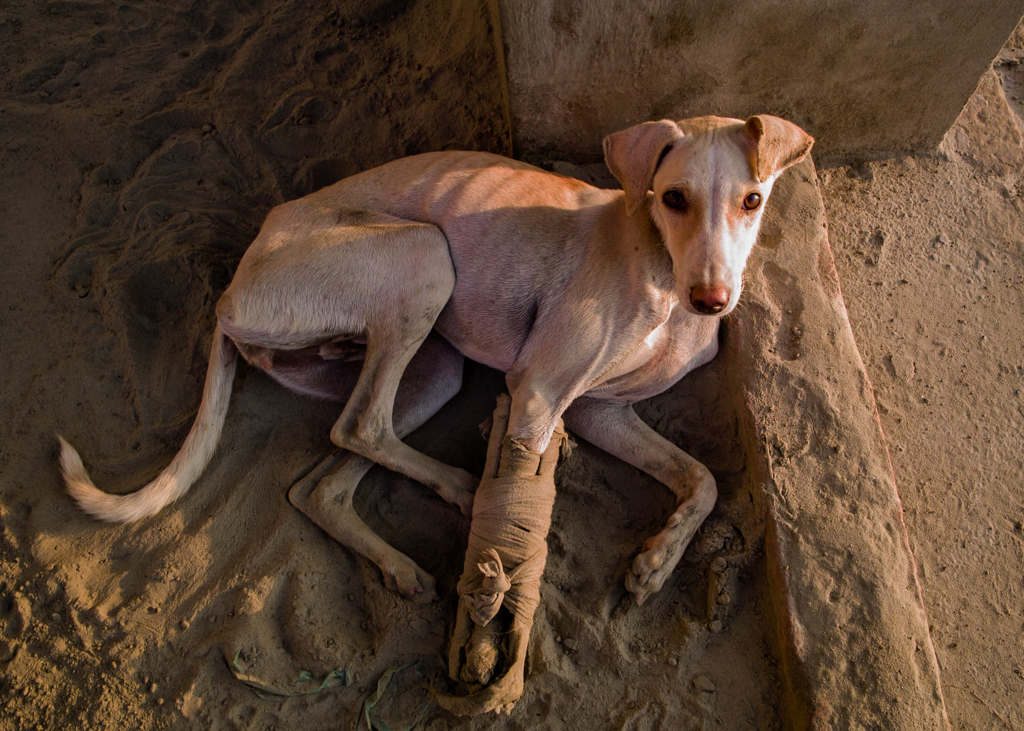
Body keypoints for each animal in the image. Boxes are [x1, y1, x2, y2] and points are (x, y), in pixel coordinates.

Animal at [59, 113, 815, 602]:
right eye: (673, 198)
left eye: (752, 200)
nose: (712, 300)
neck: (659, 265)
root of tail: (228, 293)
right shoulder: (540, 391)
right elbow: (524, 522)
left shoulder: (598, 412)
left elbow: (704, 478)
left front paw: (657, 563)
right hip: (424, 257)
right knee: (359, 426)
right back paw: (457, 486)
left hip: (429, 369)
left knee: (324, 476)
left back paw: (399, 567)